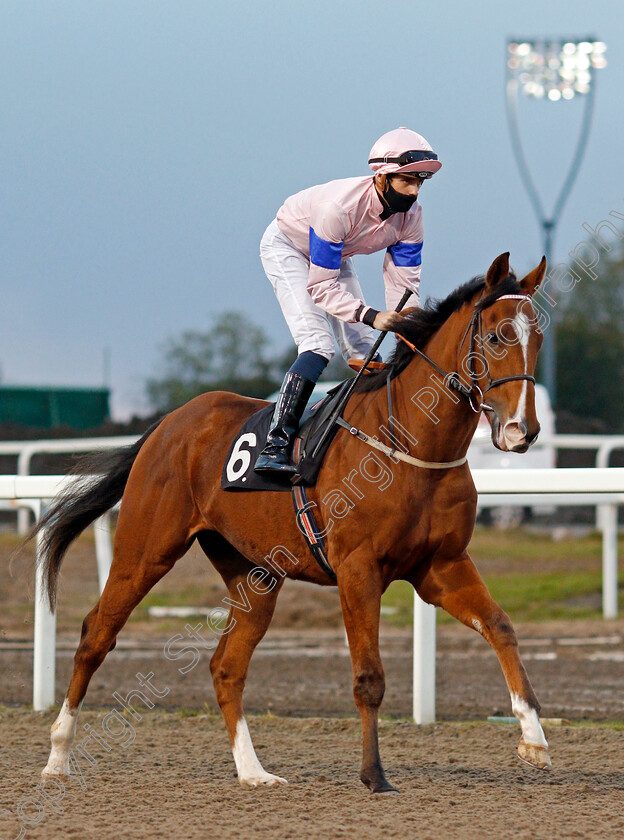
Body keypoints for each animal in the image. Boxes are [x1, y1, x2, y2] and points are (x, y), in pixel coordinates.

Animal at [35, 251, 552, 796]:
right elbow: (369, 677)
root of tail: (169, 423)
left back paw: (252, 771)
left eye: (538, 337)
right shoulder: (358, 570)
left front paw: (534, 739)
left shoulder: (441, 566)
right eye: (496, 336)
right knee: (96, 635)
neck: (412, 445)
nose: (521, 430)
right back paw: (58, 756)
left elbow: (501, 627)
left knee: (226, 667)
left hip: (254, 574)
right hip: (145, 550)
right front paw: (374, 775)